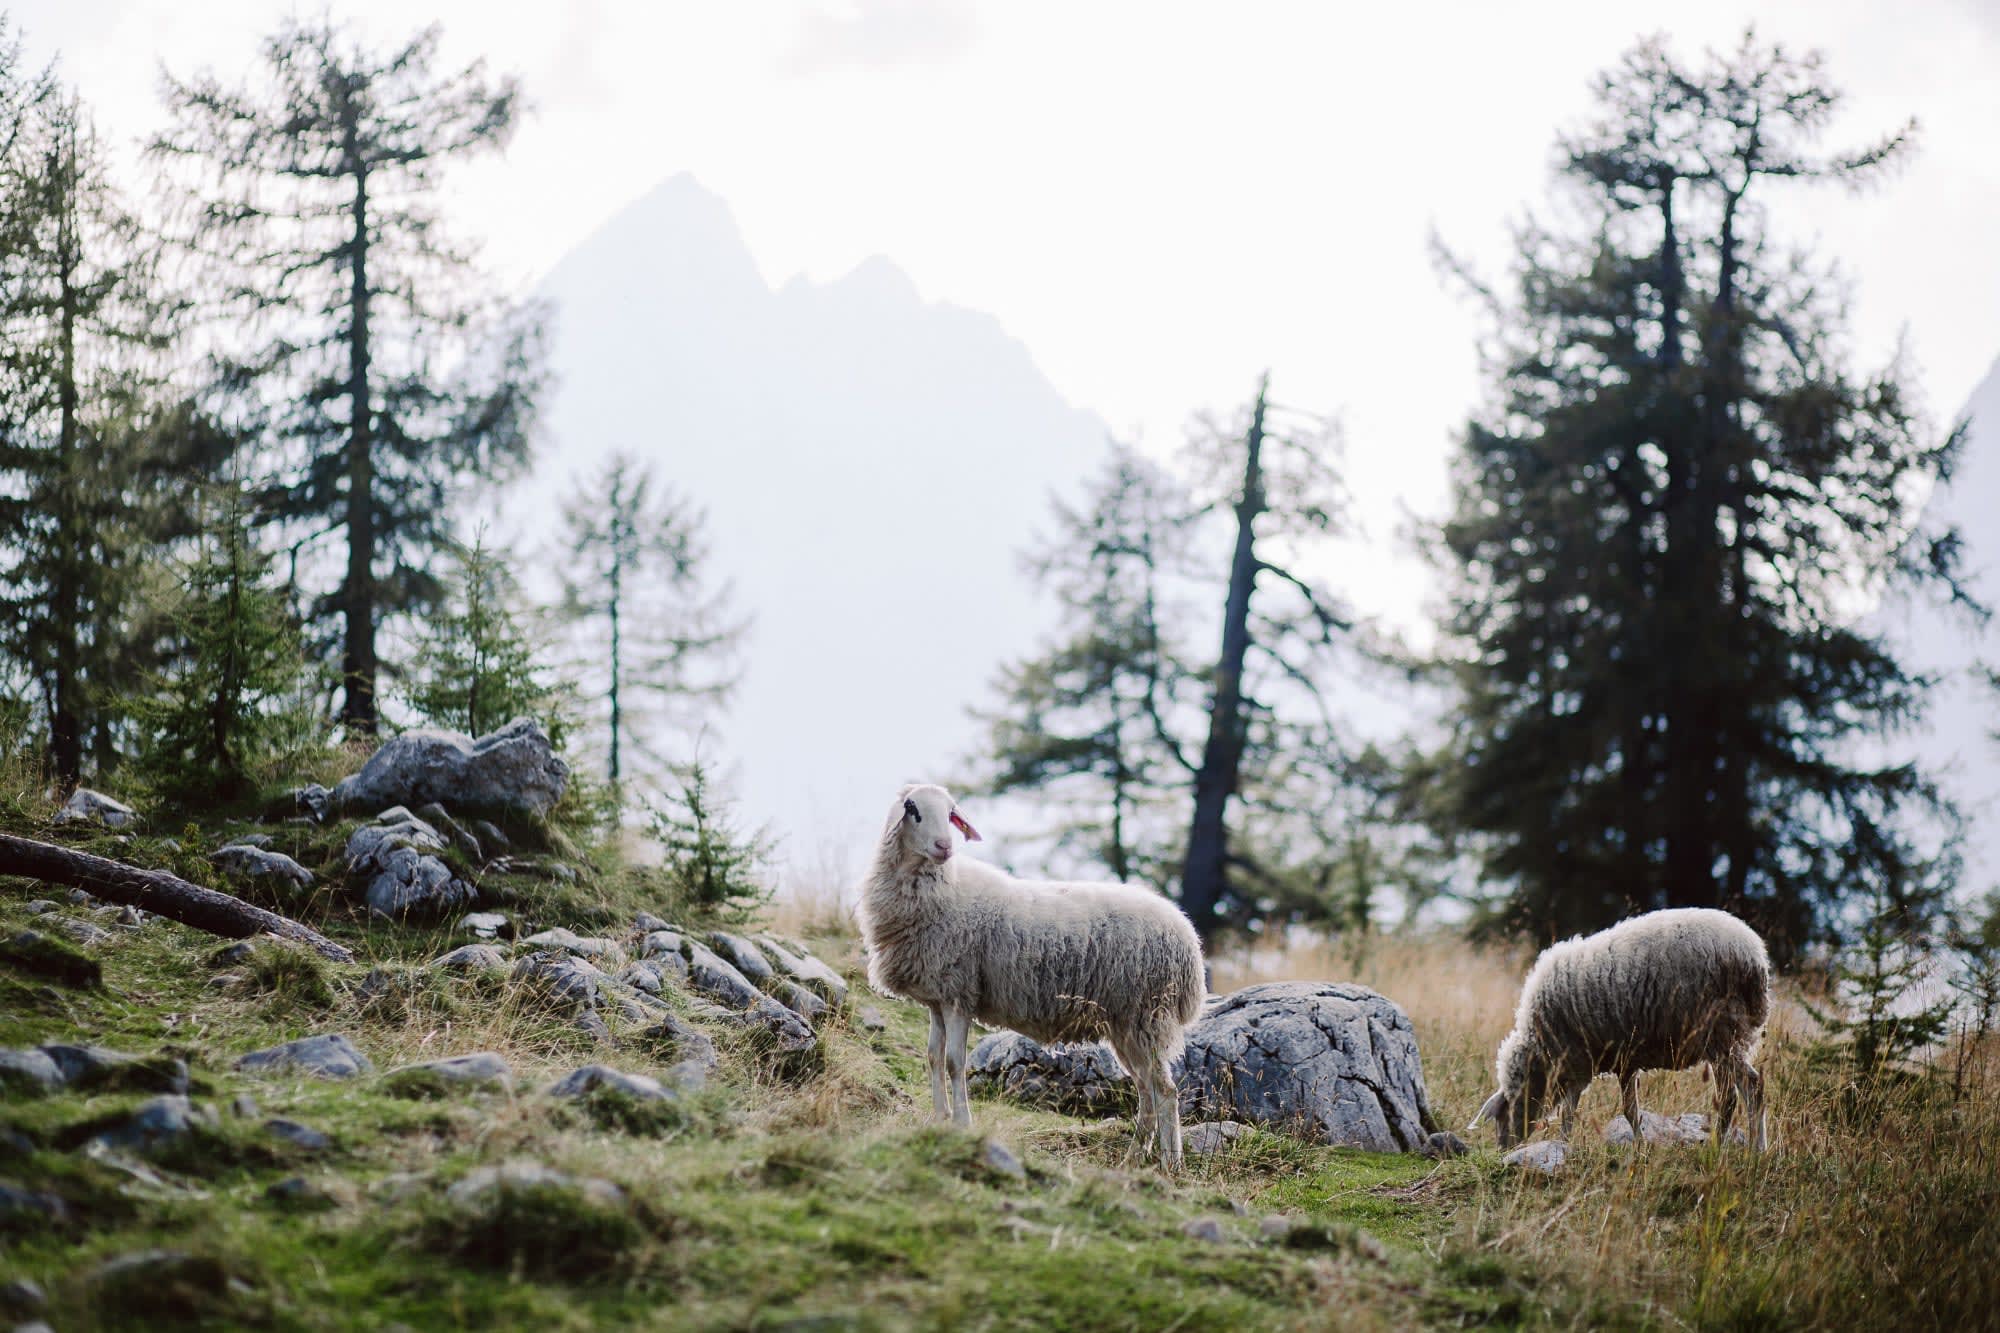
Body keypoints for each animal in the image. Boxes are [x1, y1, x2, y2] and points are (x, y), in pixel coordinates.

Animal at [858, 783, 1206, 1167]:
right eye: (912, 808)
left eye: (951, 812)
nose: (944, 847)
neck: (943, 887)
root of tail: (1187, 935)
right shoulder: (938, 997)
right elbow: (934, 1058)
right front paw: (939, 1119)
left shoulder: (960, 994)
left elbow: (954, 1062)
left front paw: (962, 1123)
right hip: (1125, 1023)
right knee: (1146, 1089)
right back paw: (1133, 1158)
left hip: (1146, 1014)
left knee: (1165, 1090)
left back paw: (1171, 1163)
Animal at [1468, 907, 1771, 1151]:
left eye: (1503, 1113)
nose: (1502, 1149)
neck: (1540, 1051)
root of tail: (1754, 956)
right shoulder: (1621, 1059)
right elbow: (1626, 1110)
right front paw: (1636, 1143)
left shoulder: (1579, 1061)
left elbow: (1576, 1111)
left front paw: (1564, 1144)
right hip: (1733, 1036)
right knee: (1752, 1088)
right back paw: (1758, 1149)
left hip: (1719, 1032)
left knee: (1731, 1096)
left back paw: (1719, 1146)